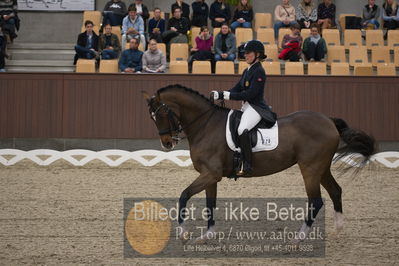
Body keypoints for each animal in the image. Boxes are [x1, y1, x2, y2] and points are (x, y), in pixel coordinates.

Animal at [142, 84, 376, 242]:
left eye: (161, 114)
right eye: (152, 117)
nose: (167, 143)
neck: (205, 124)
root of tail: (328, 120)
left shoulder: (210, 174)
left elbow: (184, 196)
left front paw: (183, 233)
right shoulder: (210, 177)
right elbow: (210, 204)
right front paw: (207, 235)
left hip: (310, 169)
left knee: (316, 201)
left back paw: (298, 238)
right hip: (322, 168)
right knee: (335, 191)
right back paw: (337, 229)